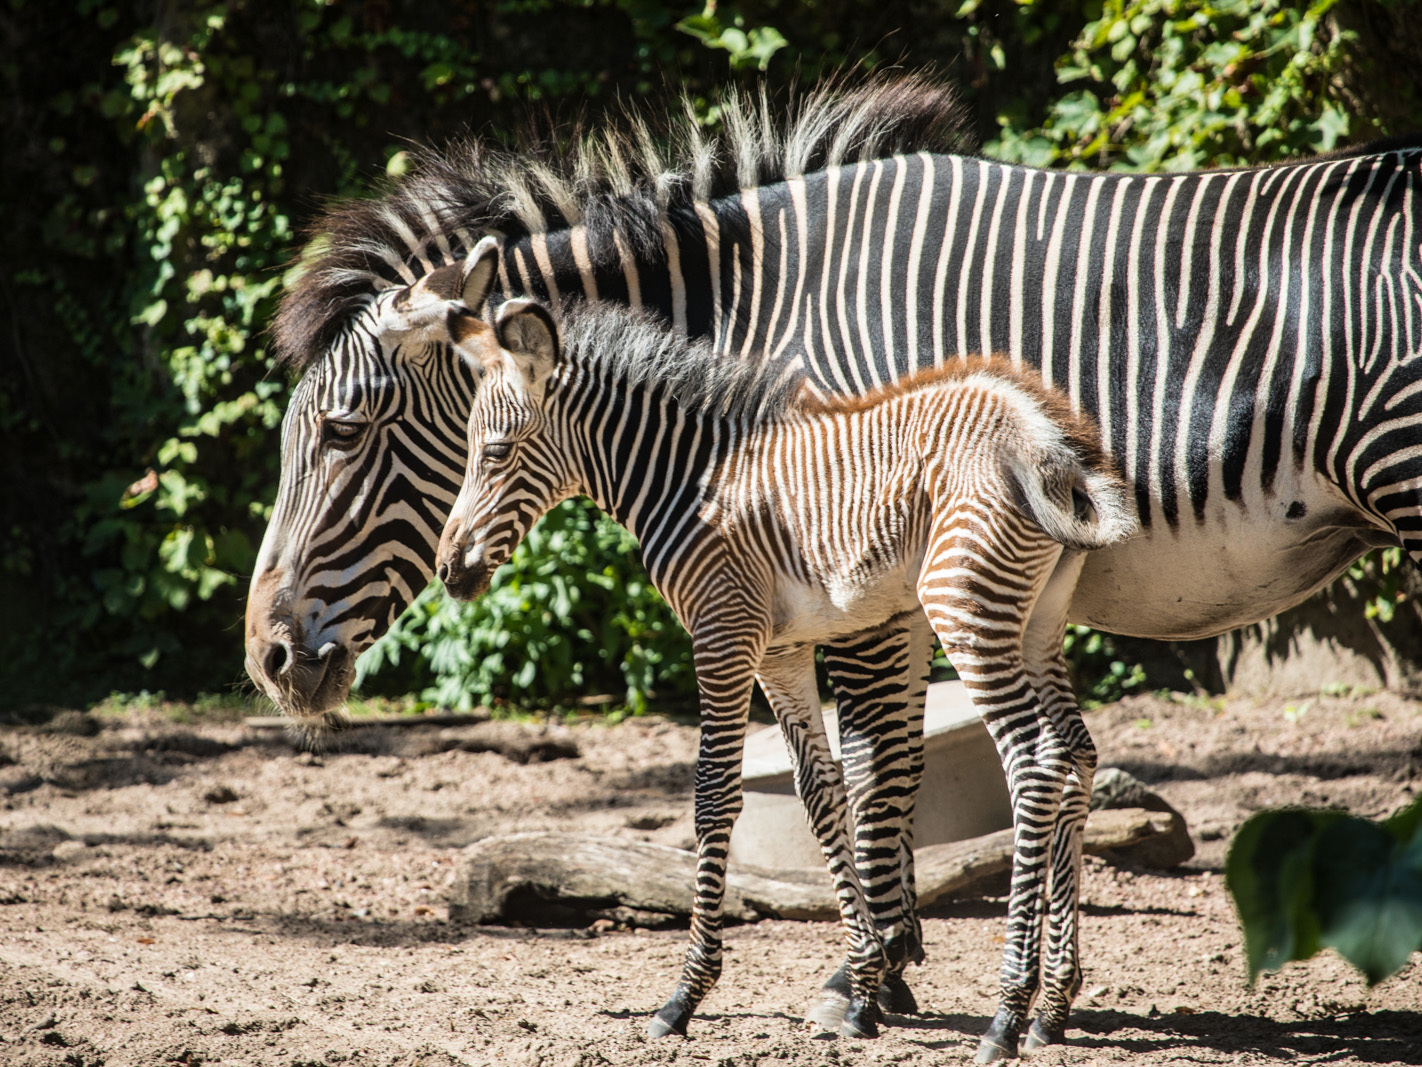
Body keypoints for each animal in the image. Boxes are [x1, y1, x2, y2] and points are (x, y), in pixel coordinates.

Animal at [426, 244, 1137, 1052]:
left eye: (495, 451)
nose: (449, 572)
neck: (686, 479)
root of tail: (1043, 438)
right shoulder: (781, 652)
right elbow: (820, 793)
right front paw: (863, 988)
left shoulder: (721, 635)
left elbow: (713, 796)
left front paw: (685, 995)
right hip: (1038, 621)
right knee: (1075, 754)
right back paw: (1053, 1007)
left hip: (965, 610)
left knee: (1033, 764)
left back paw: (1007, 1014)